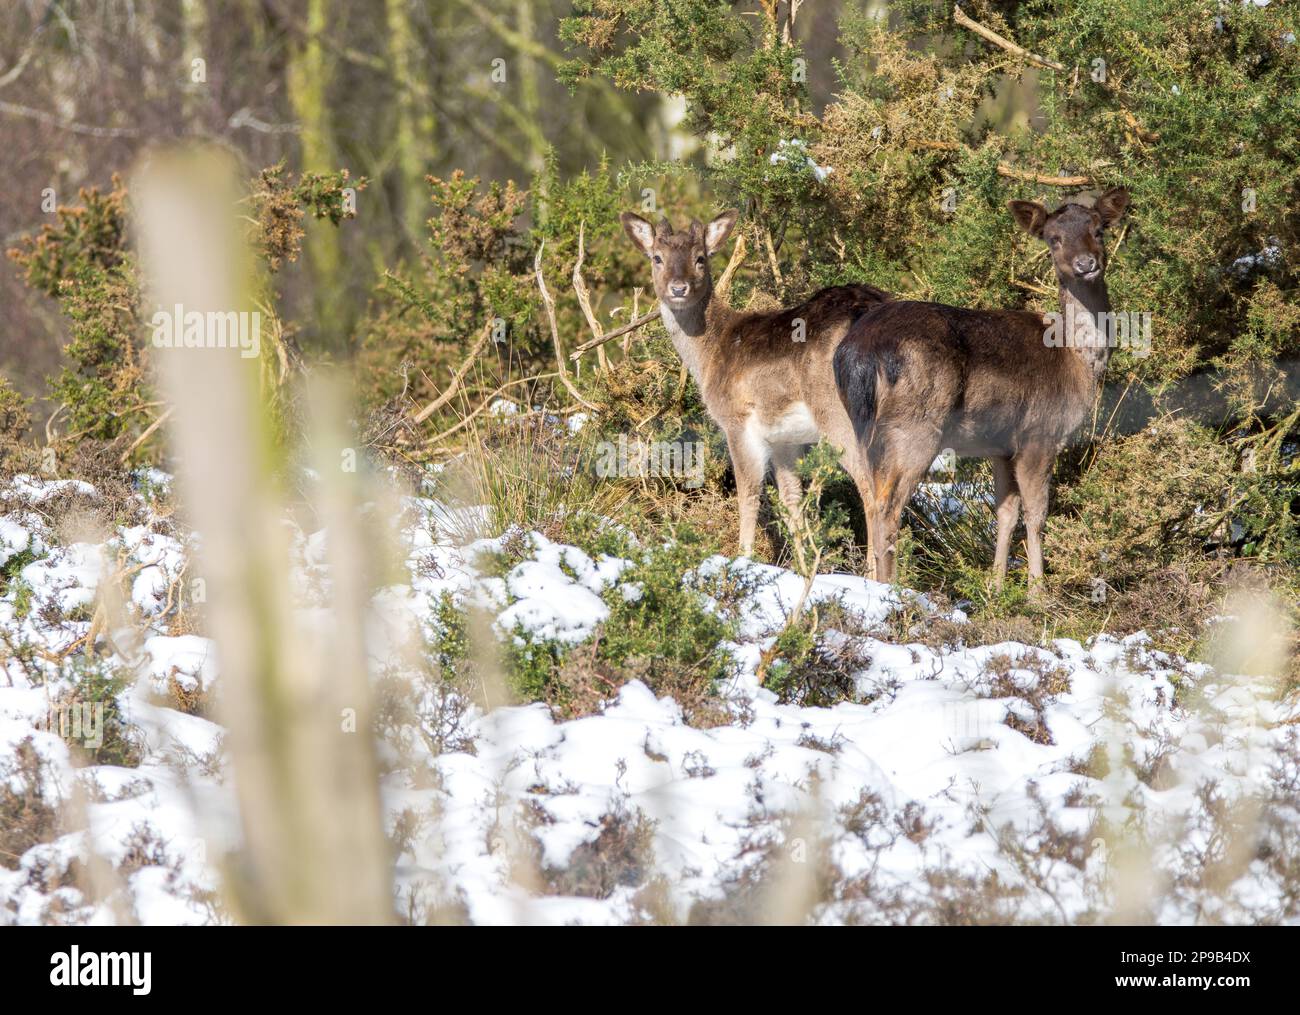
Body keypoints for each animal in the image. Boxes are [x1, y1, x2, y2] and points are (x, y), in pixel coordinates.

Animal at [619, 210, 890, 558]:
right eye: (657, 257)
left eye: (700, 258)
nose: (678, 288)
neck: (708, 356)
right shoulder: (784, 437)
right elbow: (791, 501)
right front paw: (801, 564)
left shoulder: (737, 419)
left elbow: (748, 492)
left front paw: (743, 556)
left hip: (837, 412)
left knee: (871, 486)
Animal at [831, 187, 1132, 588]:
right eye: (1053, 239)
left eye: (1099, 230)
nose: (1086, 264)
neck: (1076, 362)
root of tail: (858, 353)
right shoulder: (1040, 432)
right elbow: (1037, 514)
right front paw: (1038, 590)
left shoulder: (1001, 446)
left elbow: (1006, 512)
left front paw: (997, 586)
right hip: (915, 425)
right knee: (887, 504)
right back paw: (891, 587)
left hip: (860, 428)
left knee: (868, 496)